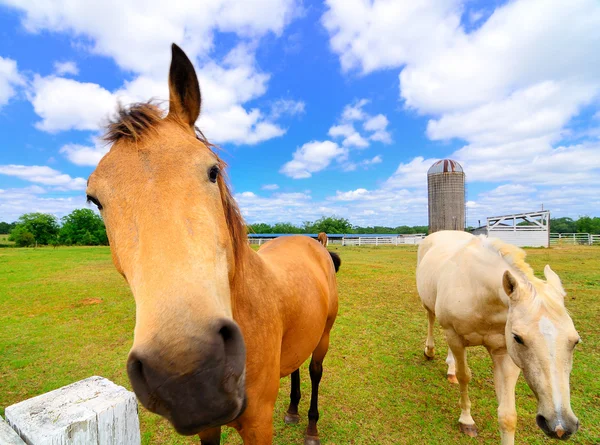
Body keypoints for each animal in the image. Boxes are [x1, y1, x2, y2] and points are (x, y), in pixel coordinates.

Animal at [86, 43, 340, 442]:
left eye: (212, 170)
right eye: (94, 199)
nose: (186, 373)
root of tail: (312, 242)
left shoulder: (258, 425)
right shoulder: (209, 428)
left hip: (324, 336)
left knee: (314, 371)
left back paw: (311, 424)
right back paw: (293, 410)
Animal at [414, 231, 580, 442]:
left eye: (575, 341)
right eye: (518, 338)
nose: (560, 426)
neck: (478, 291)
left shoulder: (504, 353)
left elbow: (508, 416)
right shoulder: (456, 338)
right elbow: (464, 376)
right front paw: (466, 421)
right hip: (430, 306)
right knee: (430, 318)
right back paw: (429, 351)